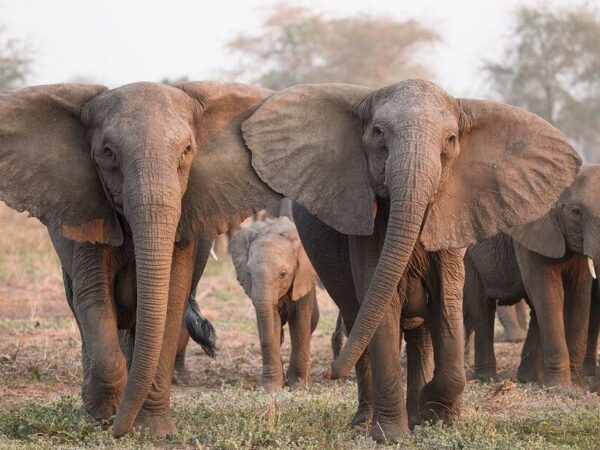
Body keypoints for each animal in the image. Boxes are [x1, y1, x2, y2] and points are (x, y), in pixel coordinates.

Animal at [0, 81, 282, 436]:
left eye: (187, 150)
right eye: (108, 152)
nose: (116, 431)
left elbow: (171, 303)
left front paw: (154, 431)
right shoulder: (89, 211)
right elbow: (94, 298)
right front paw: (103, 415)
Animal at [230, 218, 322, 390]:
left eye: (283, 274)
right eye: (249, 273)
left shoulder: (303, 279)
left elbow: (300, 324)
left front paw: (298, 386)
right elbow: (271, 323)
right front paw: (271, 388)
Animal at [464, 165, 600, 386]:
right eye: (576, 212)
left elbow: (579, 296)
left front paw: (576, 384)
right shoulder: (530, 232)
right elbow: (549, 294)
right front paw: (560, 387)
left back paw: (528, 378)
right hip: (471, 259)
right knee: (481, 310)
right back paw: (488, 378)